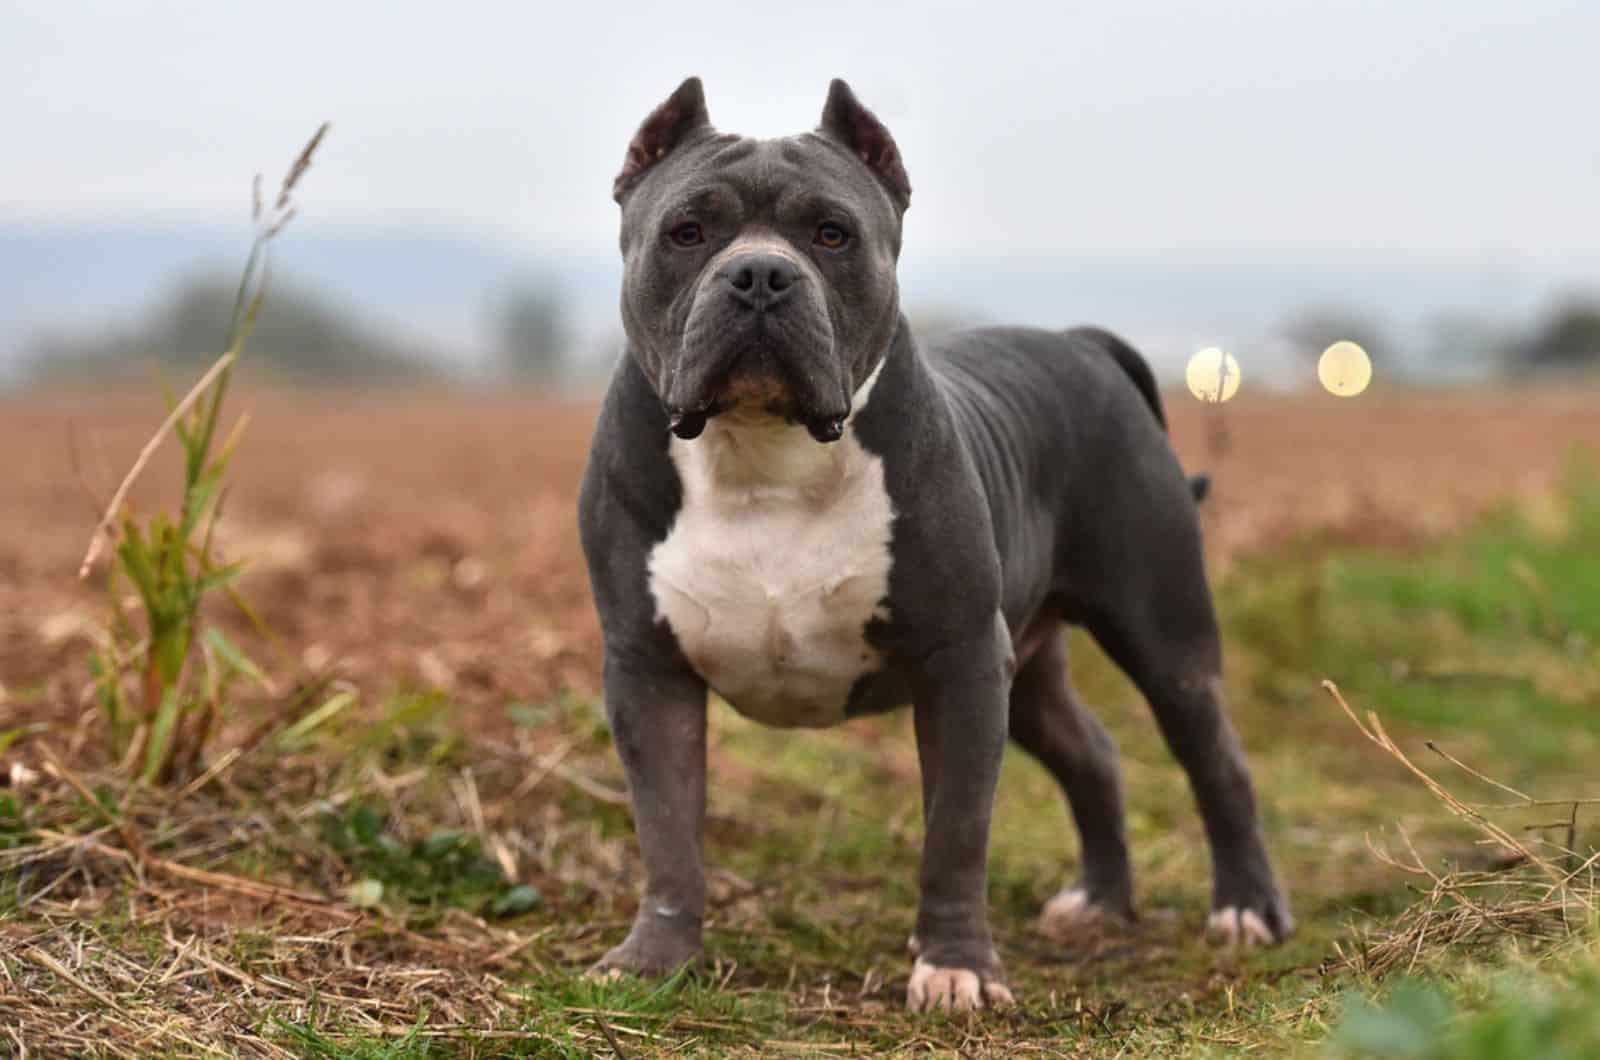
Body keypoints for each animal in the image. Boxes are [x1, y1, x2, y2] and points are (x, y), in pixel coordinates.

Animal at [582, 76, 1292, 1011]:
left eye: (833, 233)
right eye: (687, 232)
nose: (761, 274)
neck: (762, 449)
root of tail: (1084, 344)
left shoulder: (959, 664)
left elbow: (955, 835)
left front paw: (955, 967)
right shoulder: (648, 668)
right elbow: (666, 828)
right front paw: (655, 959)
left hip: (1163, 638)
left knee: (1218, 764)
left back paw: (1246, 910)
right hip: (1030, 666)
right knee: (1092, 755)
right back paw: (1100, 903)